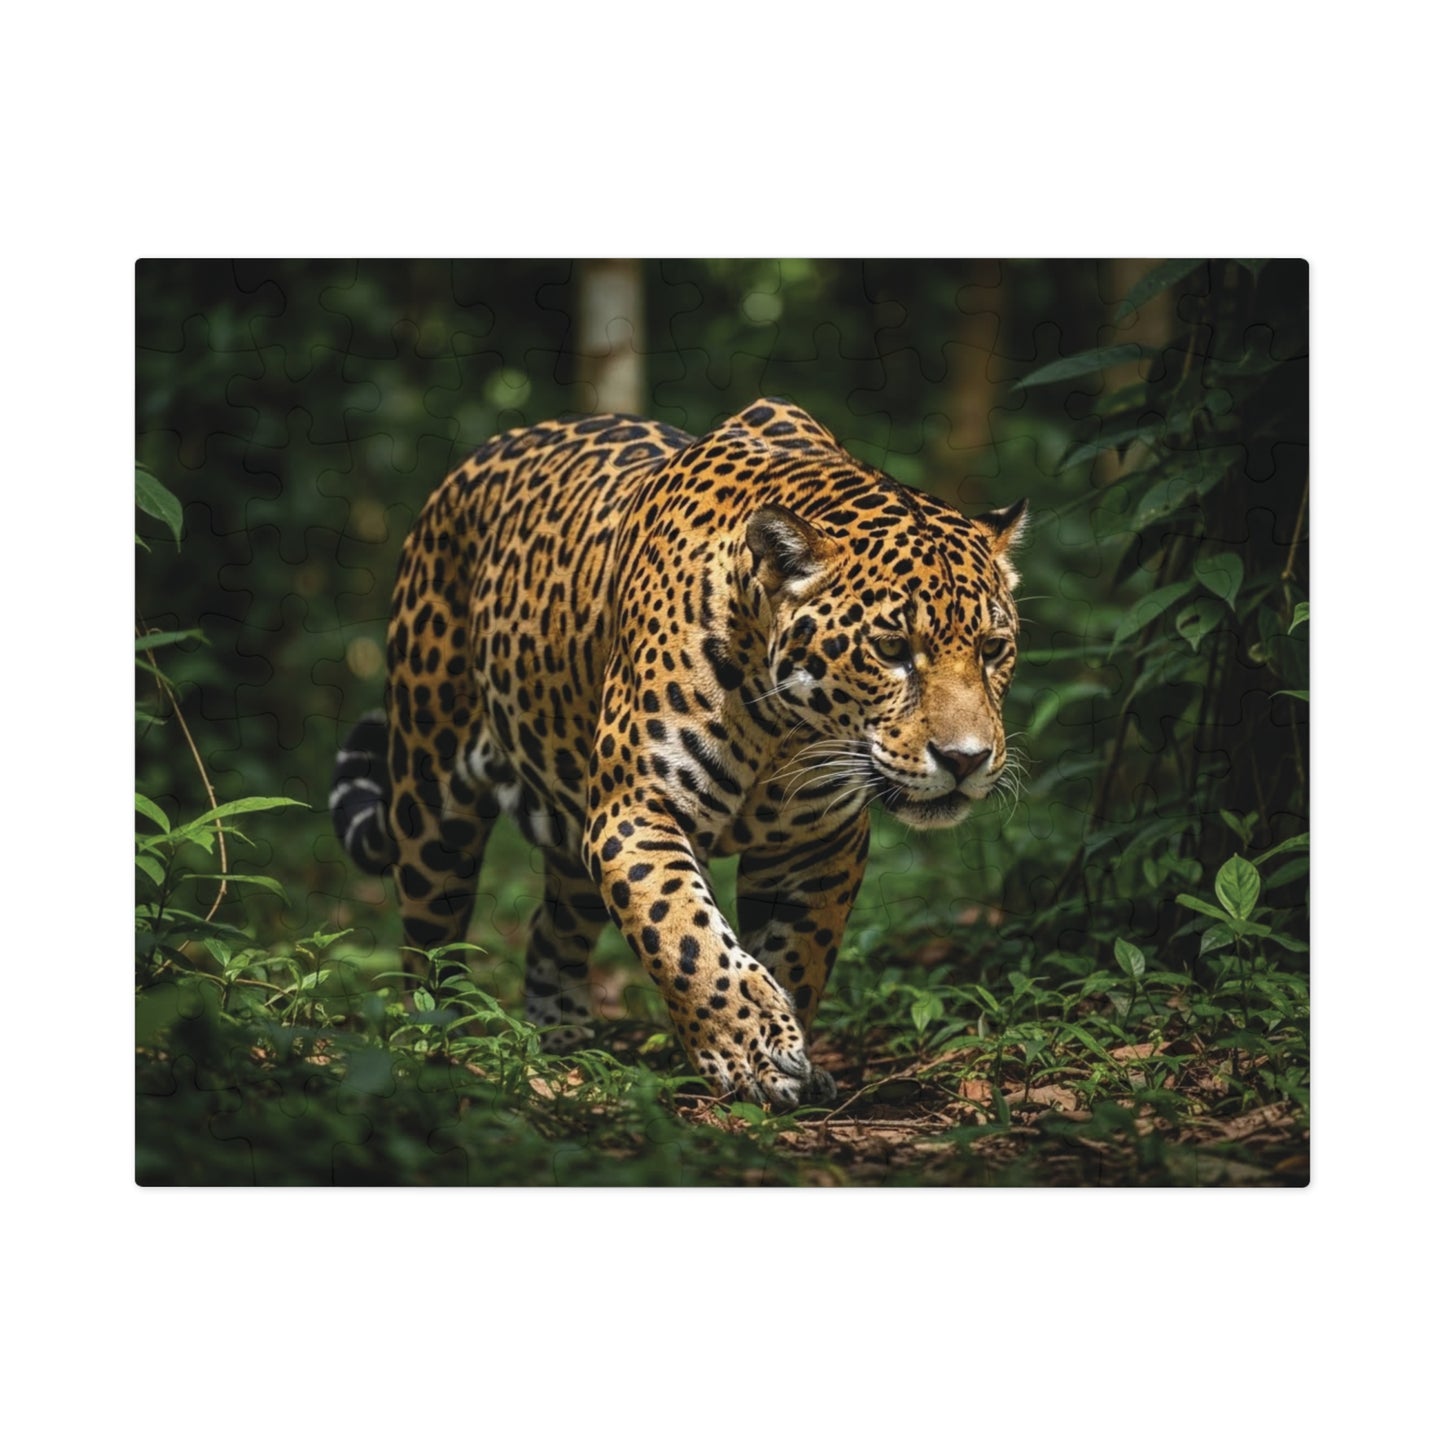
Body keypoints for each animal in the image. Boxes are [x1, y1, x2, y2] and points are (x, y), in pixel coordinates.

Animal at [331, 398, 1026, 1107]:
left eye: (993, 649)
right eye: (890, 651)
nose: (966, 759)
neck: (783, 725)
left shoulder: (819, 843)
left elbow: (798, 952)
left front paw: (791, 1055)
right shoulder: (634, 811)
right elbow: (684, 931)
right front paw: (751, 1051)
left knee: (553, 934)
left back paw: (563, 1043)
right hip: (430, 804)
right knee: (427, 947)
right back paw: (435, 1042)